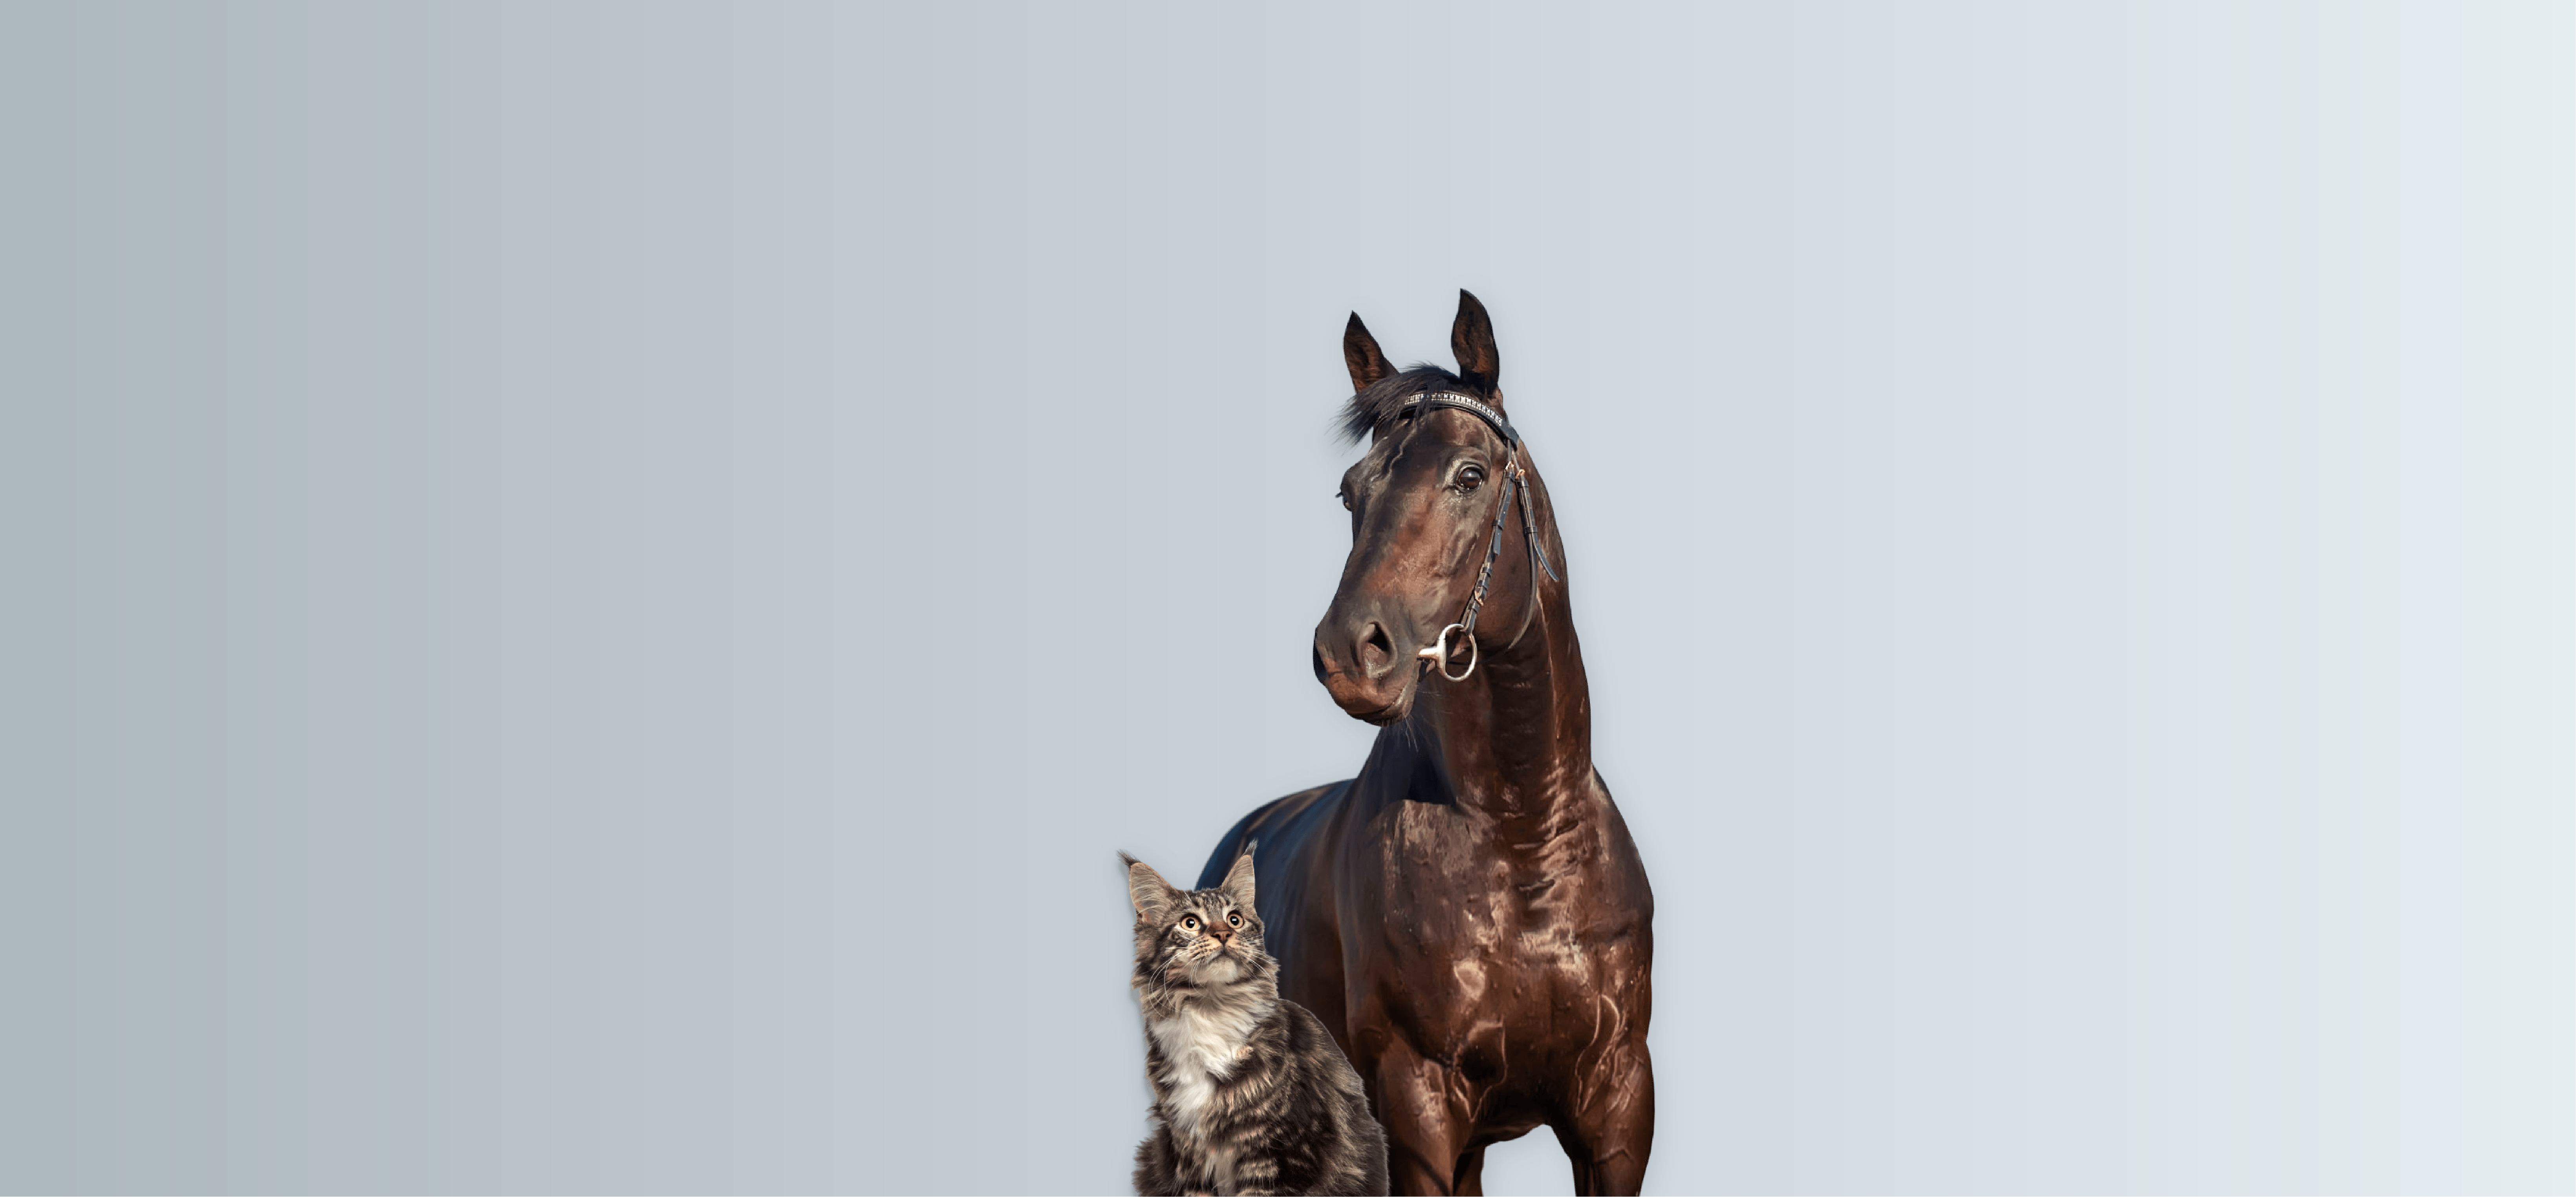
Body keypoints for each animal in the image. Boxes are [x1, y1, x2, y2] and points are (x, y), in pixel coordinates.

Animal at [1198, 291, 1655, 1195]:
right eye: (1350, 492)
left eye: (1469, 475)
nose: (1350, 653)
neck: (1524, 835)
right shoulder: (1419, 1105)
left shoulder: (1618, 1108)